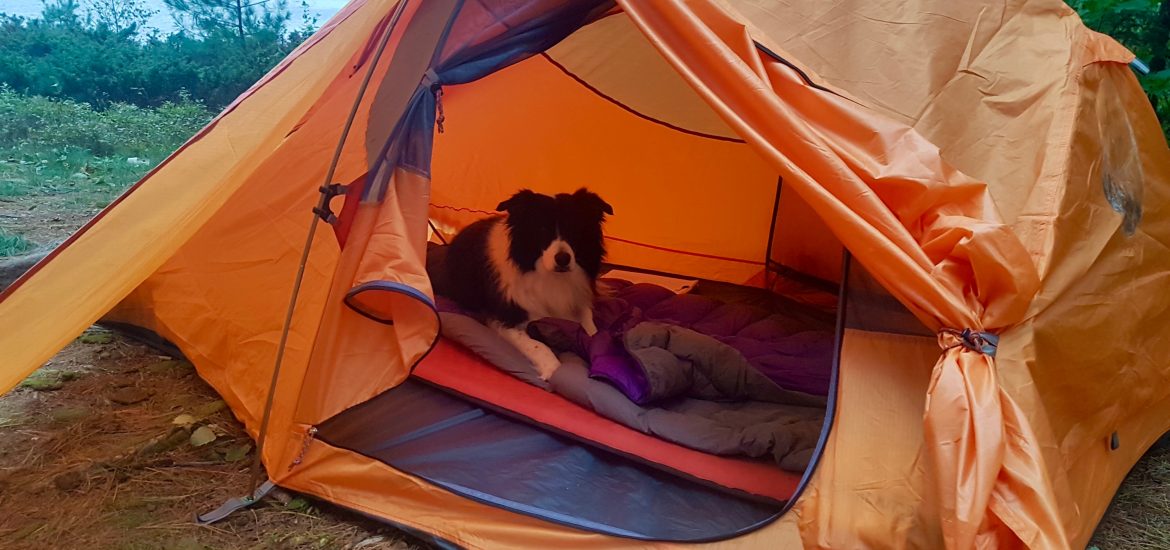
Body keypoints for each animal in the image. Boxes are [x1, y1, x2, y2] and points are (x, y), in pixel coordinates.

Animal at [430, 187, 613, 379]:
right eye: (541, 229)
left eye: (574, 229)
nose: (563, 259)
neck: (550, 277)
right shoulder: (506, 318)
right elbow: (538, 345)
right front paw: (553, 370)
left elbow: (590, 329)